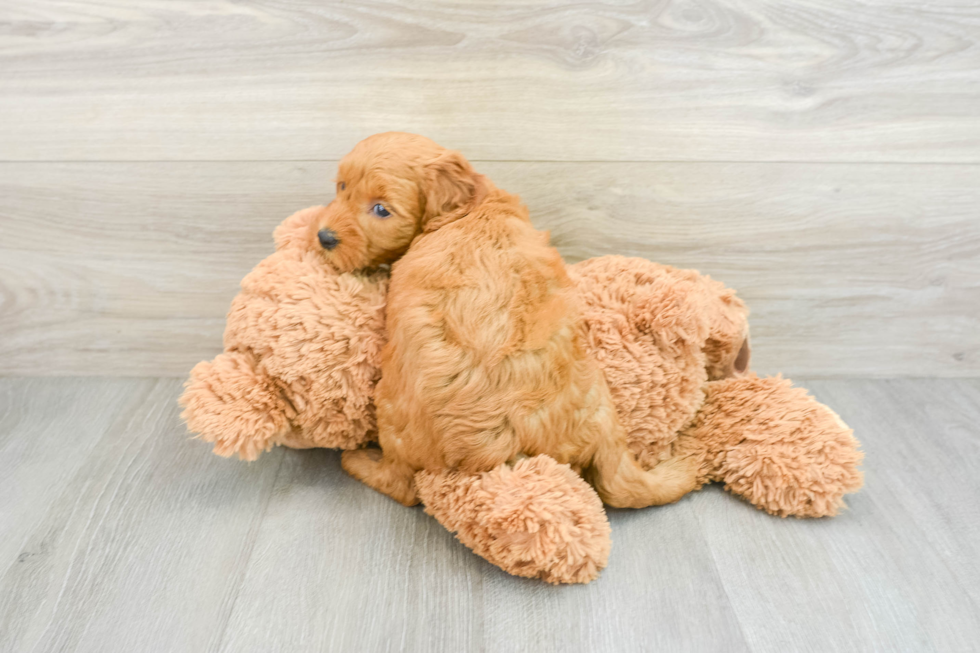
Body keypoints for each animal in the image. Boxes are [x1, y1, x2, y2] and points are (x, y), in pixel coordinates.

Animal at [320, 132, 696, 506]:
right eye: (341, 186)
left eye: (381, 209)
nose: (323, 237)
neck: (470, 209)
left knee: (401, 486)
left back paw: (358, 460)